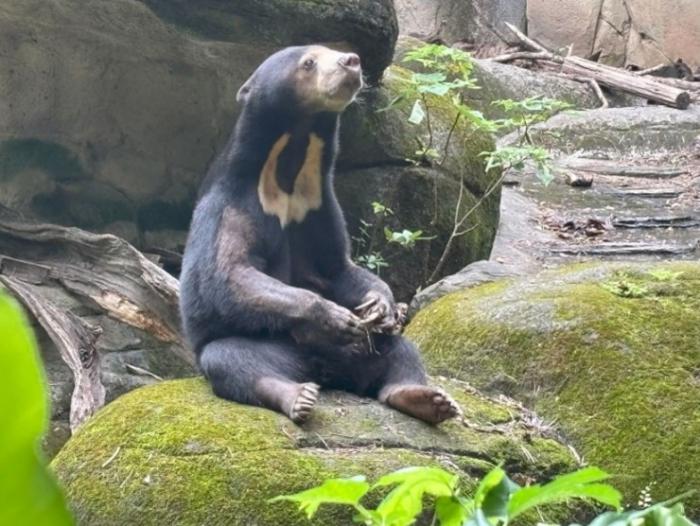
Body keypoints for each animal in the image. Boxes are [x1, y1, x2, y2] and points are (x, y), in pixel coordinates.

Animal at [179, 45, 460, 425]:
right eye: (309, 62)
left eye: (334, 50)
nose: (353, 61)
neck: (289, 164)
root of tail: (329, 373)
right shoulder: (232, 204)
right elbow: (228, 273)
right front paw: (335, 316)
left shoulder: (317, 202)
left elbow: (336, 266)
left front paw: (381, 306)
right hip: (275, 349)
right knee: (231, 357)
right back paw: (298, 395)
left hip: (363, 354)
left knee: (399, 350)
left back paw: (425, 398)